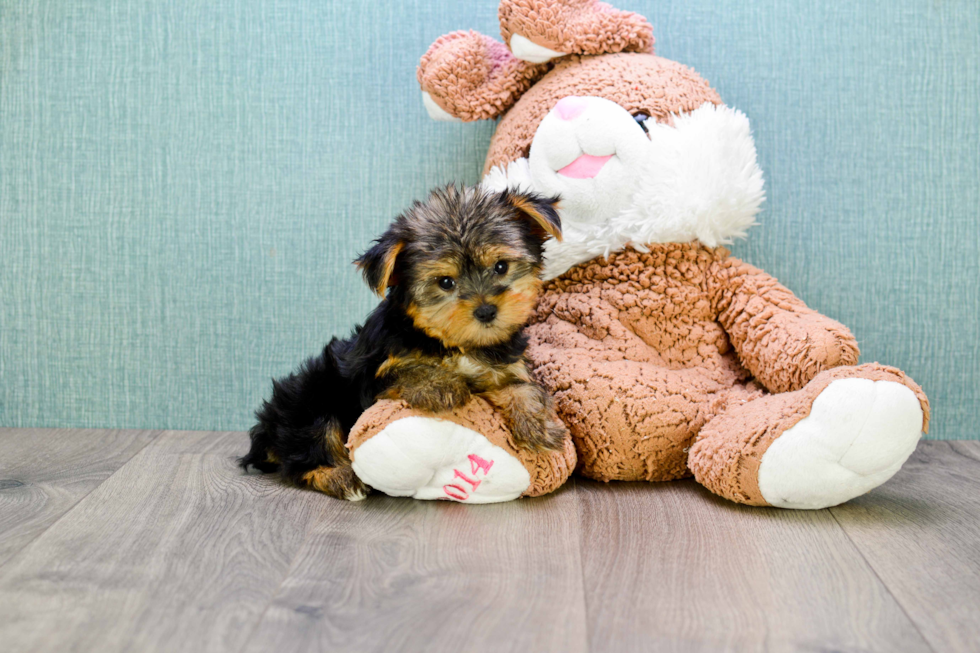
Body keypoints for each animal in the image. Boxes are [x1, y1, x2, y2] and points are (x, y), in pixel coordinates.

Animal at [238, 183, 572, 500]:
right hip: (312, 398)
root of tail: (267, 427)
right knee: (308, 451)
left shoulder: (507, 366)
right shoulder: (374, 377)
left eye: (501, 266)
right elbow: (408, 370)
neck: (454, 343)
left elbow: (524, 388)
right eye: (446, 282)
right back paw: (341, 478)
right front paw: (440, 384)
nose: (486, 310)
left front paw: (539, 425)